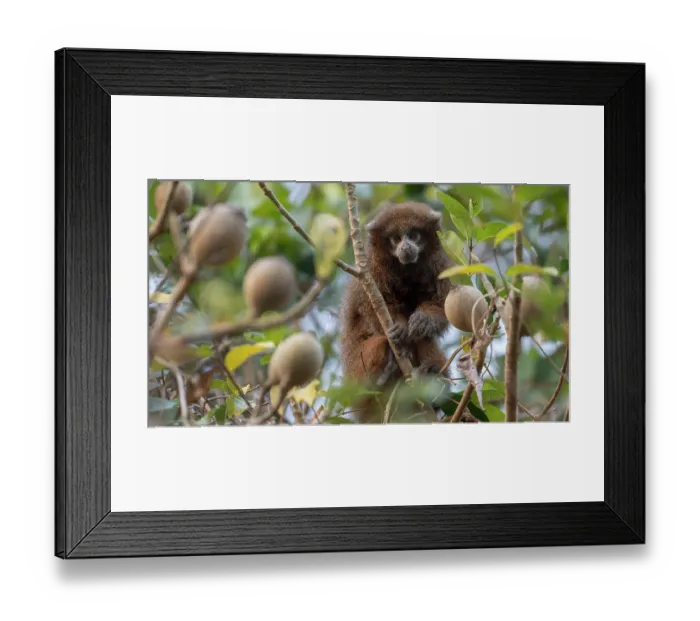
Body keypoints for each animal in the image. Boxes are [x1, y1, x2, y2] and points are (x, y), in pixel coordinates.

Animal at [339, 201, 453, 422]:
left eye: (413, 235)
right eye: (396, 238)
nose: (406, 246)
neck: (406, 270)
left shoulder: (439, 264)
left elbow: (443, 302)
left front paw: (425, 319)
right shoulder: (371, 270)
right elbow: (373, 305)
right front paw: (399, 328)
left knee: (421, 337)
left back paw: (432, 378)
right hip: (356, 374)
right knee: (381, 343)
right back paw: (384, 368)